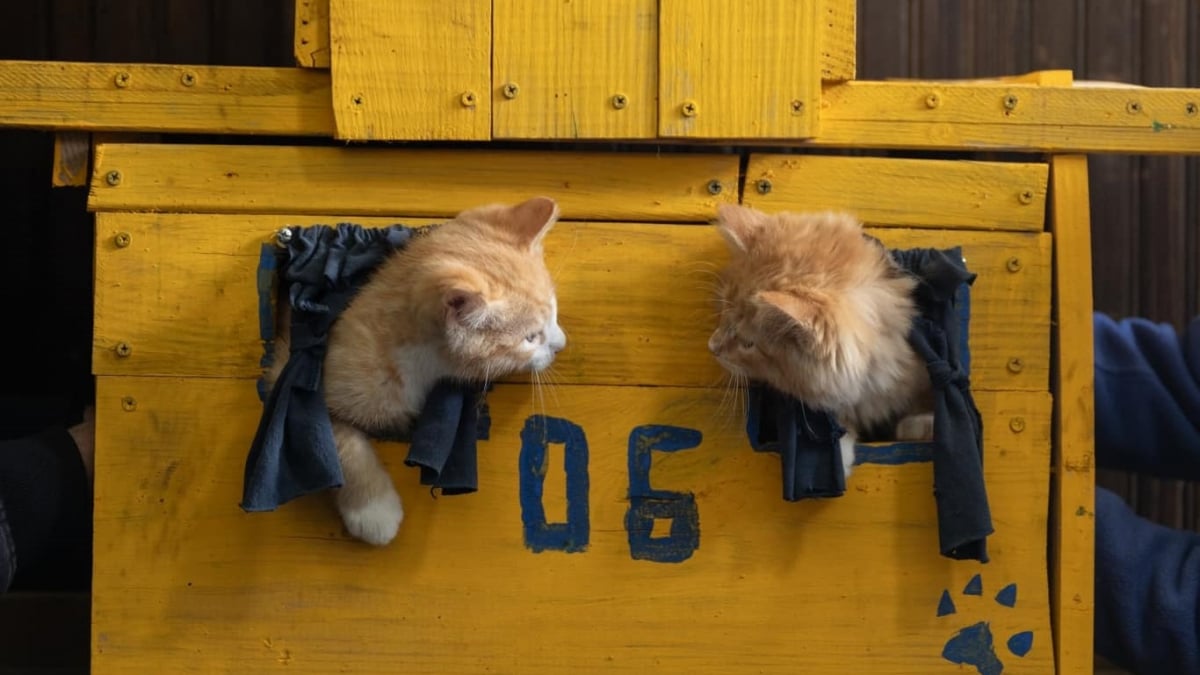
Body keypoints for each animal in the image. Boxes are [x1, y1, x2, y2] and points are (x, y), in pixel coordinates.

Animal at [270, 196, 568, 542]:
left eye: (554, 313)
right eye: (530, 338)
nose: (561, 344)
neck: (419, 365)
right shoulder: (293, 371)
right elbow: (333, 437)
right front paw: (374, 511)